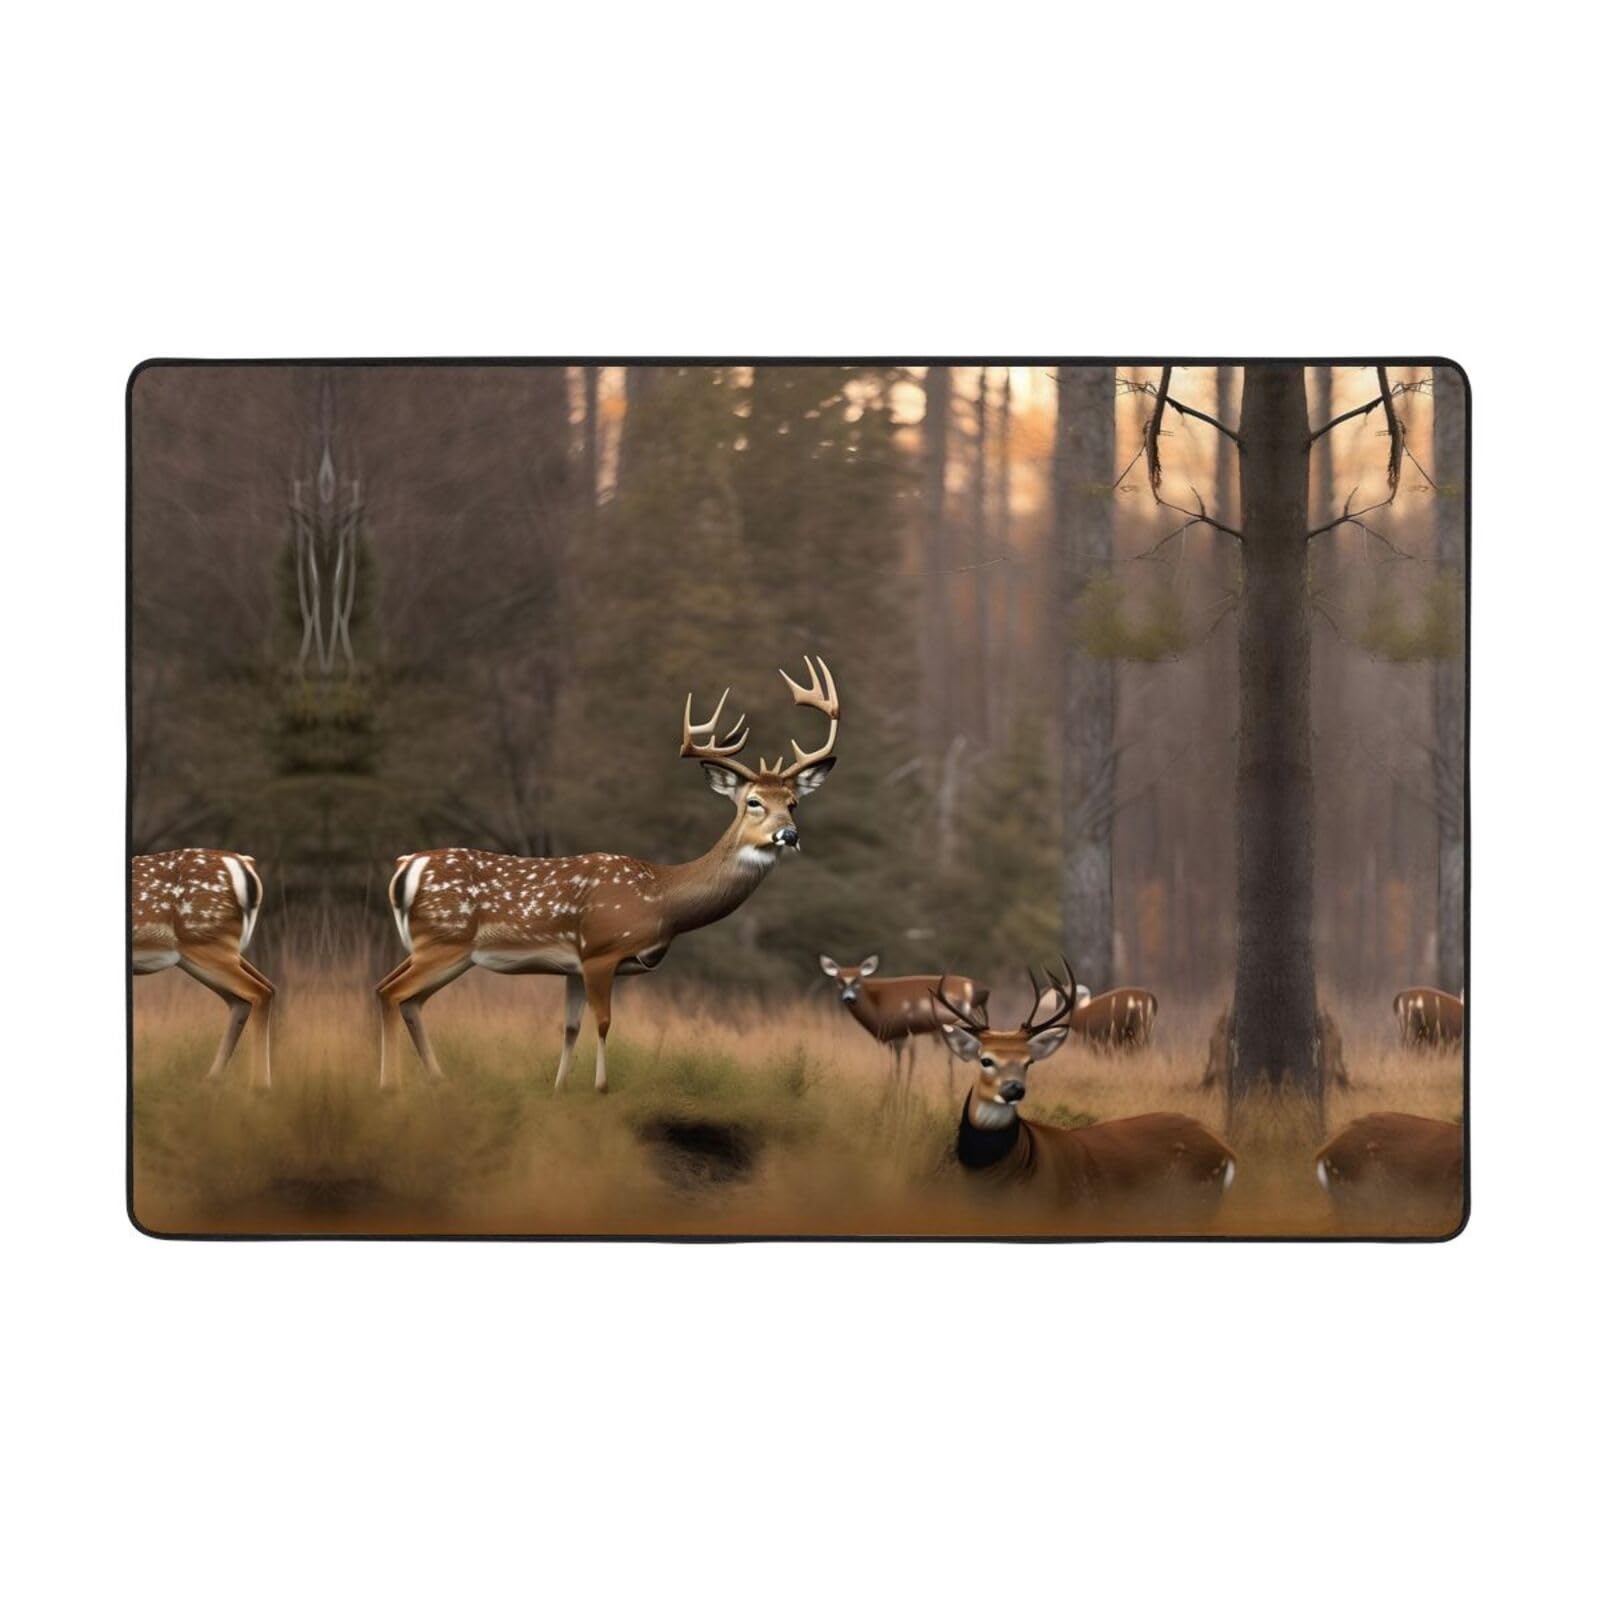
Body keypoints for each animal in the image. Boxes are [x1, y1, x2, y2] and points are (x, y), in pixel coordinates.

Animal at [131, 848, 274, 1088]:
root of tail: (244, 863)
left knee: (259, 992)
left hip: (207, 943)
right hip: (206, 951)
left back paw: (259, 1086)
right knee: (253, 994)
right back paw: (212, 1080)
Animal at [378, 657, 840, 1091]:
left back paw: (436, 1079)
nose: (789, 834)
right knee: (391, 993)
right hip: (444, 941)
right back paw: (390, 1085)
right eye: (753, 802)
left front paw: (560, 1088)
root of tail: (406, 866)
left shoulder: (572, 964)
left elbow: (569, 1028)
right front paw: (601, 1087)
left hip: (439, 948)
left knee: (406, 999)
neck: (662, 899)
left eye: (793, 803)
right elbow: (603, 1024)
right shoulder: (602, 949)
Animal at [818, 954, 988, 1097]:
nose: (848, 998)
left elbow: (903, 1065)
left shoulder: (901, 1034)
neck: (878, 1002)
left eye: (857, 980)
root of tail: (971, 987)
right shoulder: (897, 1038)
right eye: (839, 980)